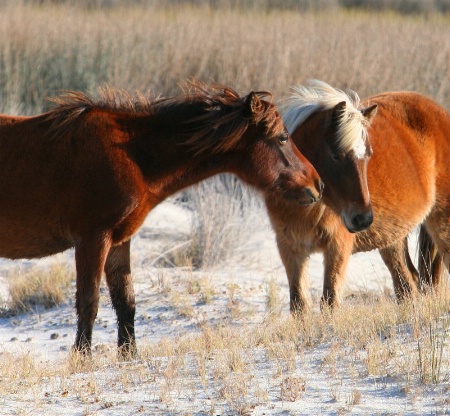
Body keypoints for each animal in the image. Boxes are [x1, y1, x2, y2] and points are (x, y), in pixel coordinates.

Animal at [0, 80, 324, 354]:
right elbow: (89, 303)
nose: (317, 185)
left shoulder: (119, 240)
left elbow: (126, 301)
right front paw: (82, 359)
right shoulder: (93, 239)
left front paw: (129, 357)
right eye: (282, 138)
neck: (131, 156)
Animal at [266, 80, 448, 312]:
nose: (362, 218)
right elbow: (299, 305)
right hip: (393, 239)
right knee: (407, 284)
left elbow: (330, 302)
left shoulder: (338, 248)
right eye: (335, 156)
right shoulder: (290, 249)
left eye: (368, 156)